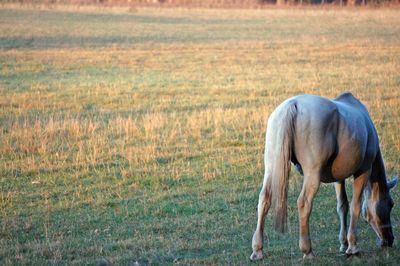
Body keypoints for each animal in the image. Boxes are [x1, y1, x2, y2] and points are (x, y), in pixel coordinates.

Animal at [250, 92, 396, 260]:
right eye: (390, 204)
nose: (389, 240)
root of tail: (292, 105)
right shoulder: (363, 171)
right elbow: (356, 206)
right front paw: (352, 246)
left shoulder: (339, 177)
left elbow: (342, 206)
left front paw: (343, 243)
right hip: (312, 173)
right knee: (304, 202)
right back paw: (307, 250)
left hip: (271, 167)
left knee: (264, 200)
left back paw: (257, 250)